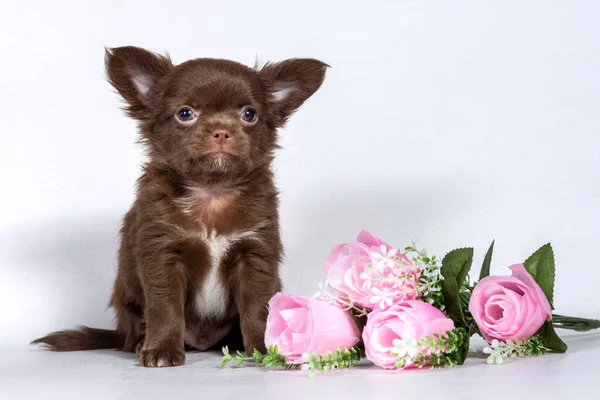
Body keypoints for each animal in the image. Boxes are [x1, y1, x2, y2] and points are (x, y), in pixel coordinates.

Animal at [31, 45, 328, 368]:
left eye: (249, 114)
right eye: (185, 113)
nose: (222, 131)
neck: (212, 192)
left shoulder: (255, 253)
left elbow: (257, 307)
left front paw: (265, 348)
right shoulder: (162, 253)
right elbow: (165, 306)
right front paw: (161, 349)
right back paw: (141, 343)